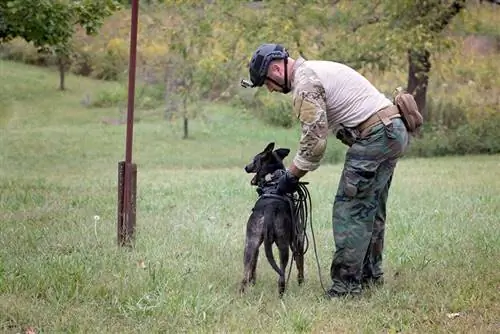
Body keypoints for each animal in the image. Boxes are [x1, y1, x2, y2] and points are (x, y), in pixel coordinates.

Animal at [239, 142, 304, 296]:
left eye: (254, 160)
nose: (246, 167)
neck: (272, 181)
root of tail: (269, 210)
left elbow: (253, 268)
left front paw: (253, 282)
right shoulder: (298, 239)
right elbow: (300, 265)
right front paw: (301, 283)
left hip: (250, 244)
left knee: (245, 274)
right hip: (283, 245)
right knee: (282, 274)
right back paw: (282, 293)